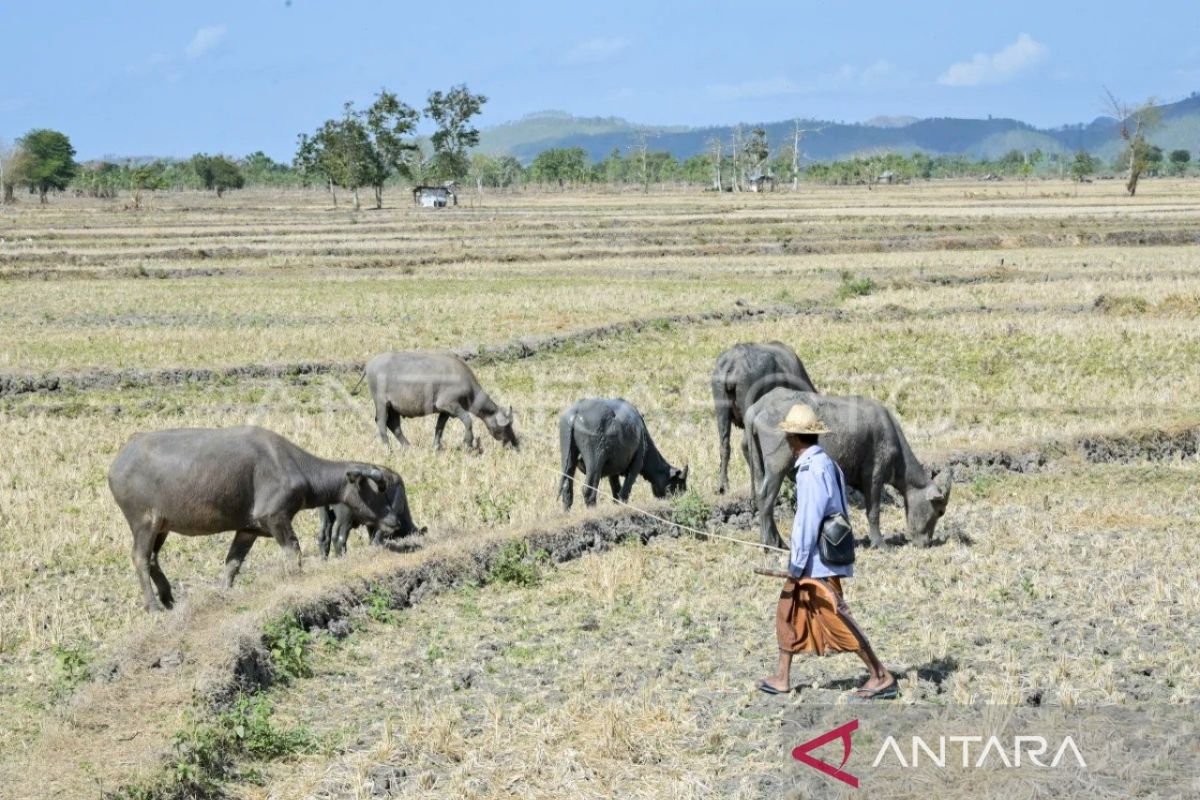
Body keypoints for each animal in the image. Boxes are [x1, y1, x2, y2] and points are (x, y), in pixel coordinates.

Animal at [109, 429, 417, 609]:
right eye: (378, 490)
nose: (394, 522)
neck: (294, 466)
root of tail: (115, 465)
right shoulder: (275, 518)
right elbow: (294, 551)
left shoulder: (248, 529)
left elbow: (233, 563)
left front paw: (225, 592)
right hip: (143, 522)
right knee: (140, 557)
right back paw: (153, 605)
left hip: (162, 526)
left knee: (152, 558)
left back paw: (169, 598)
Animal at [362, 352, 518, 453]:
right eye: (506, 426)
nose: (514, 443)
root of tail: (369, 365)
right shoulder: (450, 405)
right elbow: (468, 421)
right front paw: (468, 444)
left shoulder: (445, 411)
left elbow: (439, 428)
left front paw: (436, 447)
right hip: (381, 403)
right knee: (381, 422)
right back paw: (388, 449)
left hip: (394, 407)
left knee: (393, 424)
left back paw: (408, 447)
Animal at [556, 398, 691, 510]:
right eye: (676, 486)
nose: (679, 500)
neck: (642, 433)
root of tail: (576, 412)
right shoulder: (636, 464)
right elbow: (624, 492)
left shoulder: (613, 472)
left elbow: (616, 490)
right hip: (595, 460)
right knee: (589, 490)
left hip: (568, 458)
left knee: (567, 488)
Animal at [744, 391, 950, 554]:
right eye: (940, 512)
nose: (926, 543)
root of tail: (757, 408)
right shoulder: (874, 478)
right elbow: (873, 512)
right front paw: (879, 543)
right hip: (777, 466)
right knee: (766, 498)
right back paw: (770, 545)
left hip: (758, 464)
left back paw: (778, 542)